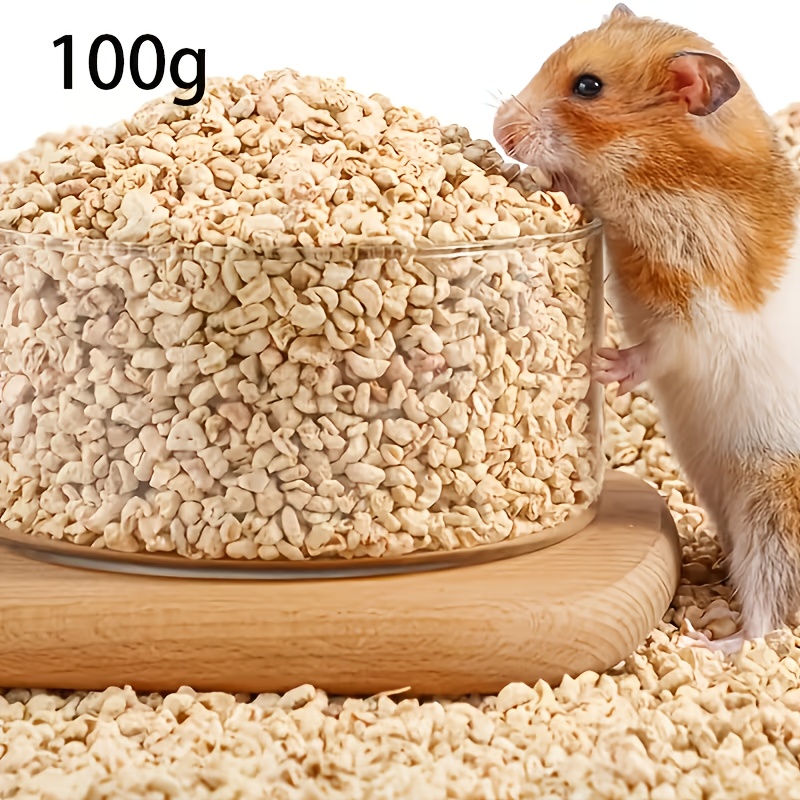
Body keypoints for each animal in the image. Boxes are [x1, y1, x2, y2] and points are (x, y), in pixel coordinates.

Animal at [493, 3, 800, 654]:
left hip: (771, 504)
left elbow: (658, 350)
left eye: (588, 86)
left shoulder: (701, 311)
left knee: (771, 614)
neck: (664, 179)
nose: (498, 129)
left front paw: (601, 365)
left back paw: (706, 643)